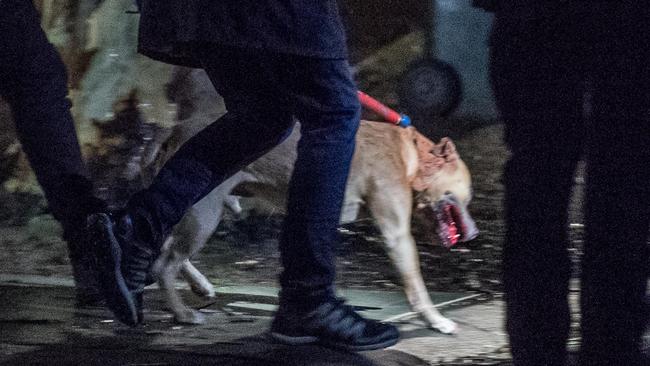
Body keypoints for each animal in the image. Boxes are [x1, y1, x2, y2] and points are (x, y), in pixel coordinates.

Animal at [152, 121, 476, 334]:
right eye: (467, 195)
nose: (474, 234)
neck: (411, 157)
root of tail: (174, 133)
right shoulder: (397, 236)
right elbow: (417, 288)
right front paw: (436, 321)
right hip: (205, 214)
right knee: (166, 264)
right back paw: (182, 313)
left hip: (201, 212)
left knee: (166, 251)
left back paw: (200, 286)